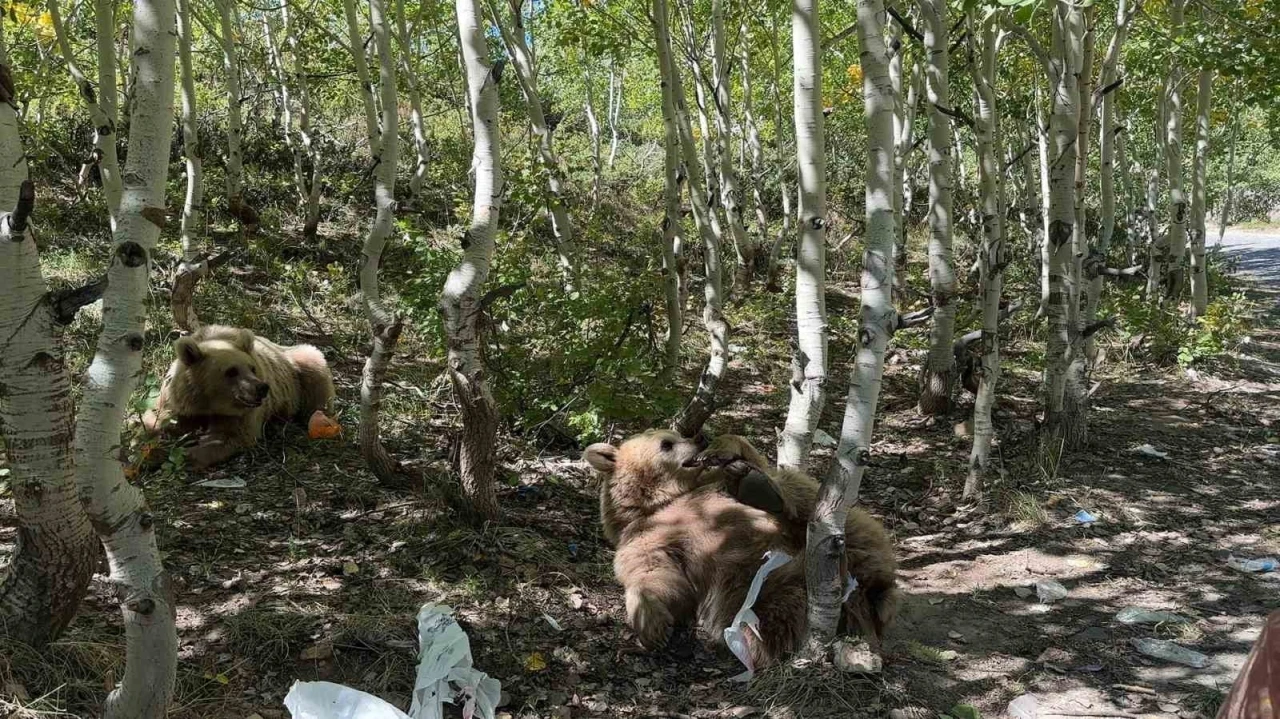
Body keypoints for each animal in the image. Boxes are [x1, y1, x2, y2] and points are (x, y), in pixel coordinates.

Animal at [142, 325, 335, 469]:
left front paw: (186, 455)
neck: (208, 402)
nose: (261, 388)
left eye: (252, 368)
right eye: (231, 371)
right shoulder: (177, 400)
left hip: (299, 366)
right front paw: (152, 451)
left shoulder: (240, 414)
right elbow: (155, 419)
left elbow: (228, 438)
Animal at [583, 430, 897, 670]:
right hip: (749, 588)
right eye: (666, 443)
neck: (665, 500)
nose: (699, 438)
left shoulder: (715, 489)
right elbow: (655, 574)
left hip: (832, 533)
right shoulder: (646, 537)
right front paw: (654, 623)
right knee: (770, 616)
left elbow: (755, 461)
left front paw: (729, 453)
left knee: (826, 512)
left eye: (676, 434)